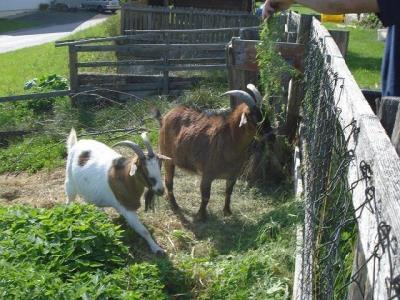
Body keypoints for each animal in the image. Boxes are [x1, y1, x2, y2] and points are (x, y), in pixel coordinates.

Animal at [148, 84, 276, 220]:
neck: (230, 140)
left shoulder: (233, 175)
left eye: (266, 114)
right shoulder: (207, 175)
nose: (272, 137)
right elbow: (206, 196)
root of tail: (164, 118)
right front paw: (201, 215)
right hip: (168, 158)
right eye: (254, 118)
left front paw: (227, 212)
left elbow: (228, 192)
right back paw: (175, 206)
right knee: (168, 182)